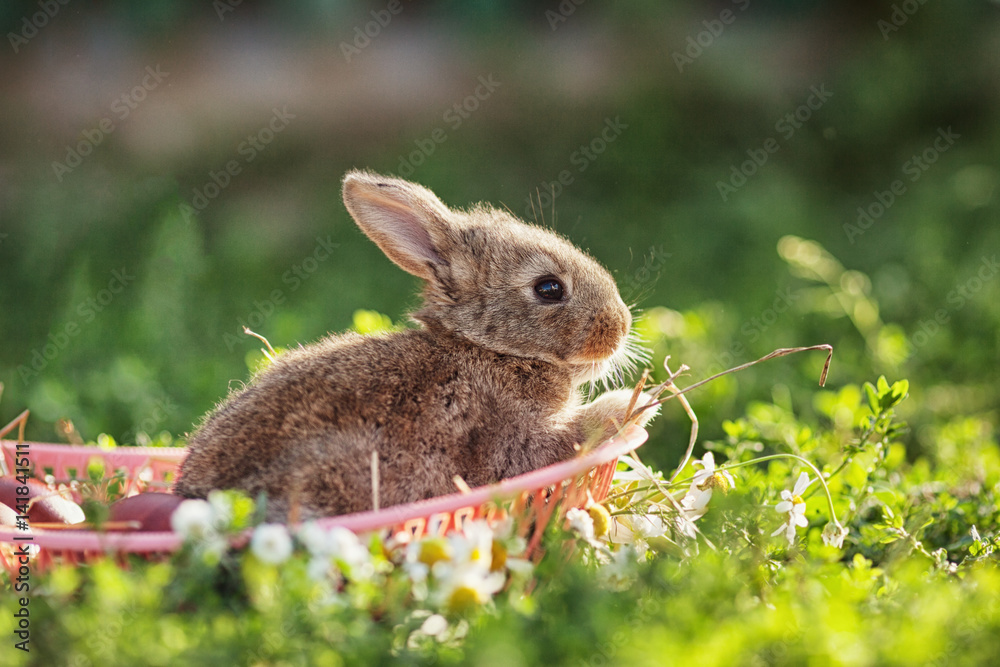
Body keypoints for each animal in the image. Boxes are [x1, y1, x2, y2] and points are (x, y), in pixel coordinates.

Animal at [173, 170, 657, 520]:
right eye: (549, 288)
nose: (621, 324)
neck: (487, 350)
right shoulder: (512, 445)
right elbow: (569, 439)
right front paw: (635, 405)